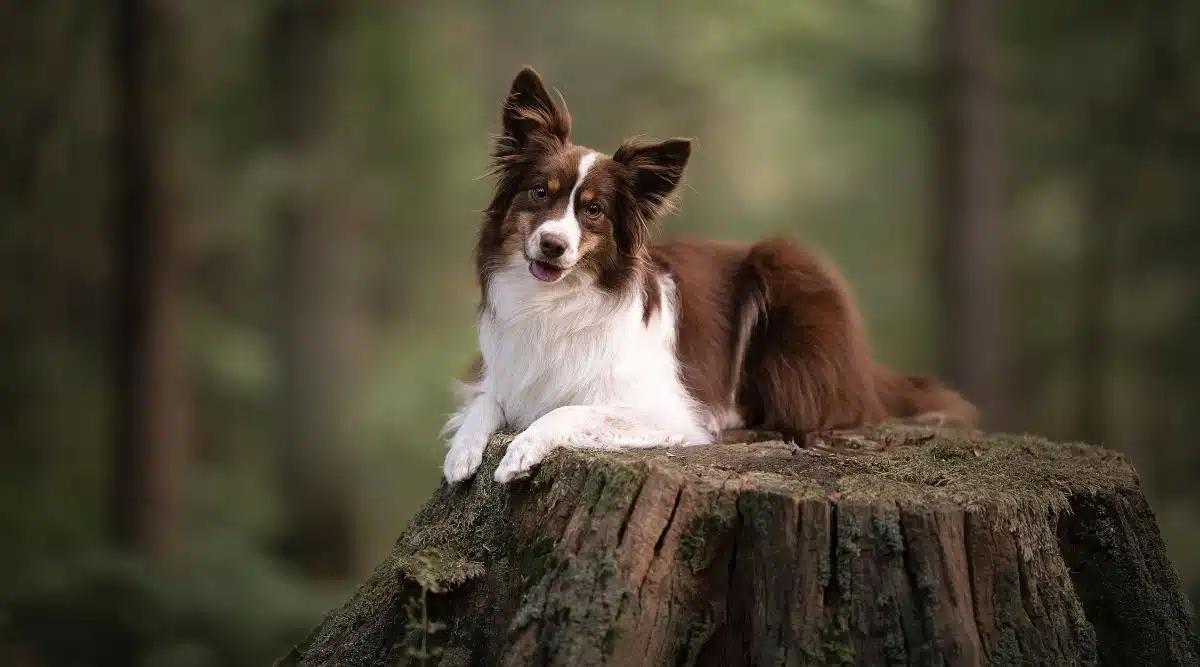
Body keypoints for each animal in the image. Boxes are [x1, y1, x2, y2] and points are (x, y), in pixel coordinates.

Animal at [441, 66, 974, 484]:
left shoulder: (665, 409)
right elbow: (485, 401)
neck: (555, 301)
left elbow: (565, 410)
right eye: (539, 192)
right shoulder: (503, 374)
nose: (552, 245)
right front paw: (462, 452)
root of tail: (865, 367)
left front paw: (521, 450)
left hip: (787, 269)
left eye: (593, 211)